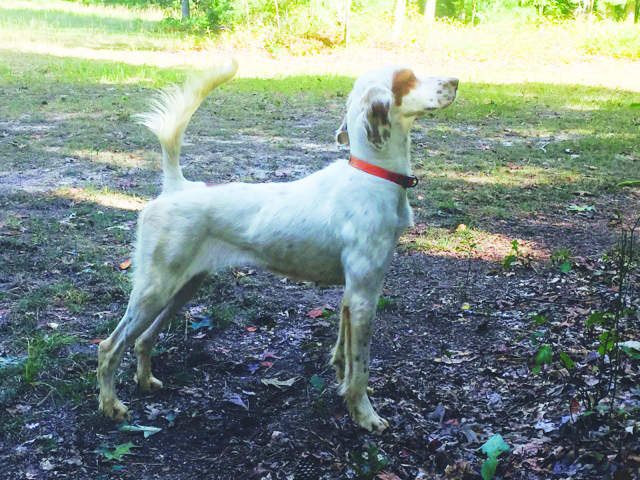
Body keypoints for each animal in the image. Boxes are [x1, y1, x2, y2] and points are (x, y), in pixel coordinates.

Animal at [97, 58, 458, 434]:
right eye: (407, 78)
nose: (456, 81)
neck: (372, 175)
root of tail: (177, 187)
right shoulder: (364, 295)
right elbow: (361, 367)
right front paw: (365, 415)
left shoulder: (350, 294)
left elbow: (343, 355)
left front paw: (342, 390)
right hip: (155, 289)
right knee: (109, 347)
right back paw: (111, 406)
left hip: (183, 288)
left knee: (142, 339)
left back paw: (145, 381)